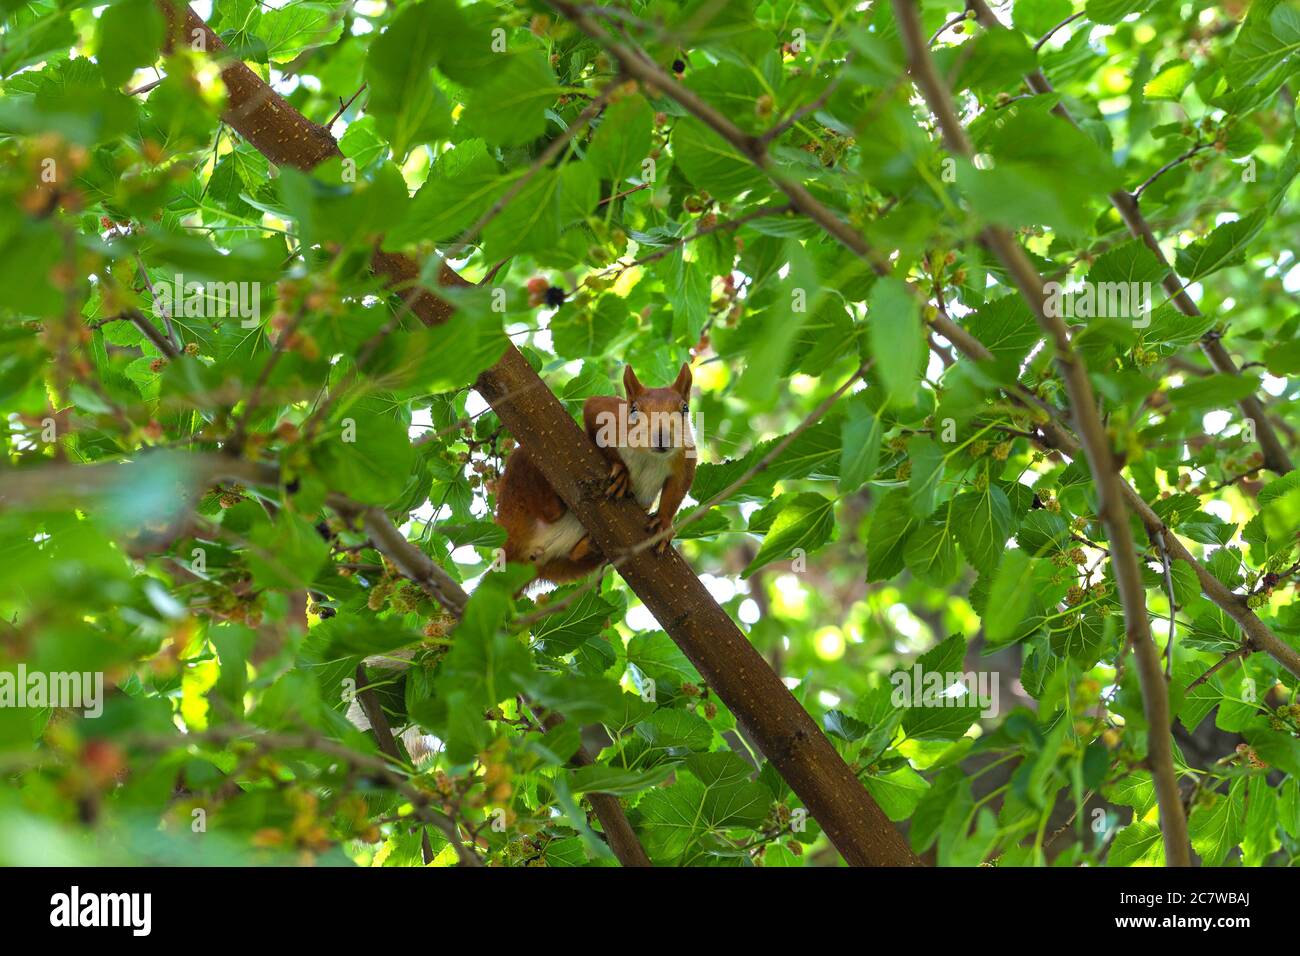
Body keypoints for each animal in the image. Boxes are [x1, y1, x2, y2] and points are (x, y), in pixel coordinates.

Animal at [495, 363, 697, 583]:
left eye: (685, 408)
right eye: (633, 410)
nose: (662, 436)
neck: (648, 454)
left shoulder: (686, 455)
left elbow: (677, 488)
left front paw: (664, 523)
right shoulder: (610, 413)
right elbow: (593, 411)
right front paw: (621, 470)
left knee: (574, 557)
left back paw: (588, 546)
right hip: (521, 481)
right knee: (548, 508)